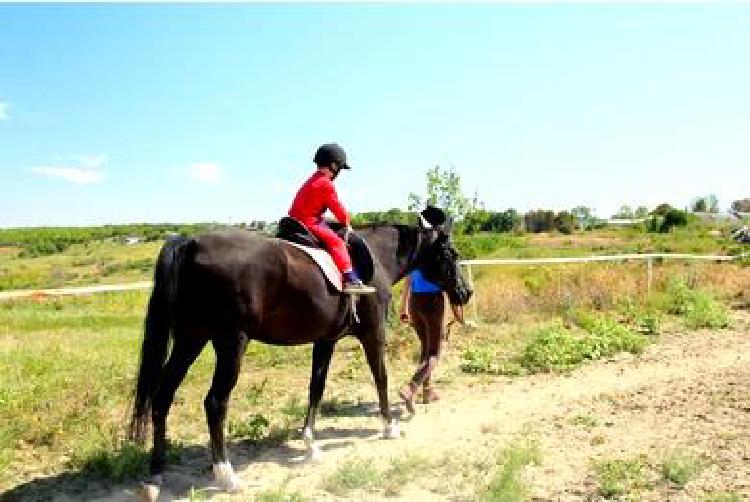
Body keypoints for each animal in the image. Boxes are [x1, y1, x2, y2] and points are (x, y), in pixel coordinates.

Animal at [129, 222, 470, 496]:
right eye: (450, 254)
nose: (465, 292)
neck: (376, 256)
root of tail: (191, 243)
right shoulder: (373, 334)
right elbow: (381, 377)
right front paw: (389, 427)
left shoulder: (325, 341)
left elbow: (316, 388)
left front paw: (310, 444)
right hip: (230, 343)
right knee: (215, 403)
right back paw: (227, 475)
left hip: (190, 339)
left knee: (162, 397)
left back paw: (156, 473)